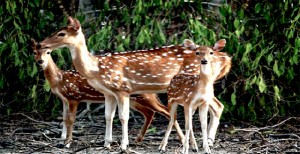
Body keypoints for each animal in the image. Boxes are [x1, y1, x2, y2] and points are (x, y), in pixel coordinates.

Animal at [29, 38, 176, 147]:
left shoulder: (74, 96)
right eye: (34, 52)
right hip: (134, 99)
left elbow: (71, 119)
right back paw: (137, 140)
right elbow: (64, 118)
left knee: (164, 111)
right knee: (149, 113)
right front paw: (61, 141)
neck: (59, 79)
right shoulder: (64, 99)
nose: (40, 61)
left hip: (144, 96)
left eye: (48, 52)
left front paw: (68, 143)